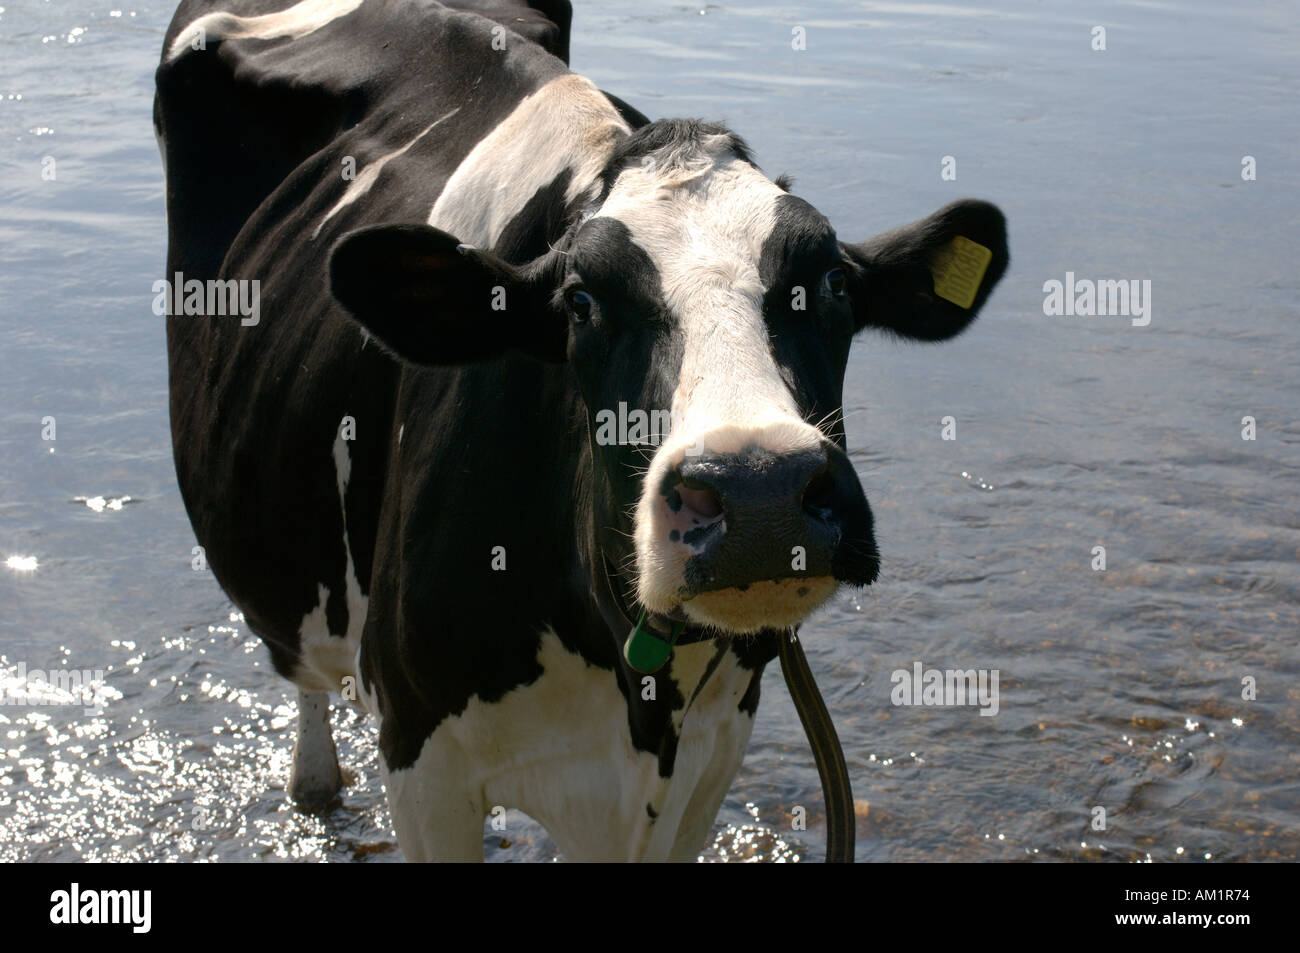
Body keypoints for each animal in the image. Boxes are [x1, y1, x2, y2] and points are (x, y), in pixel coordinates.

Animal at [155, 0, 1008, 861]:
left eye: (830, 281)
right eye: (580, 302)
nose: (759, 489)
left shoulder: (711, 751)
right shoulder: (420, 750)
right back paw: (315, 780)